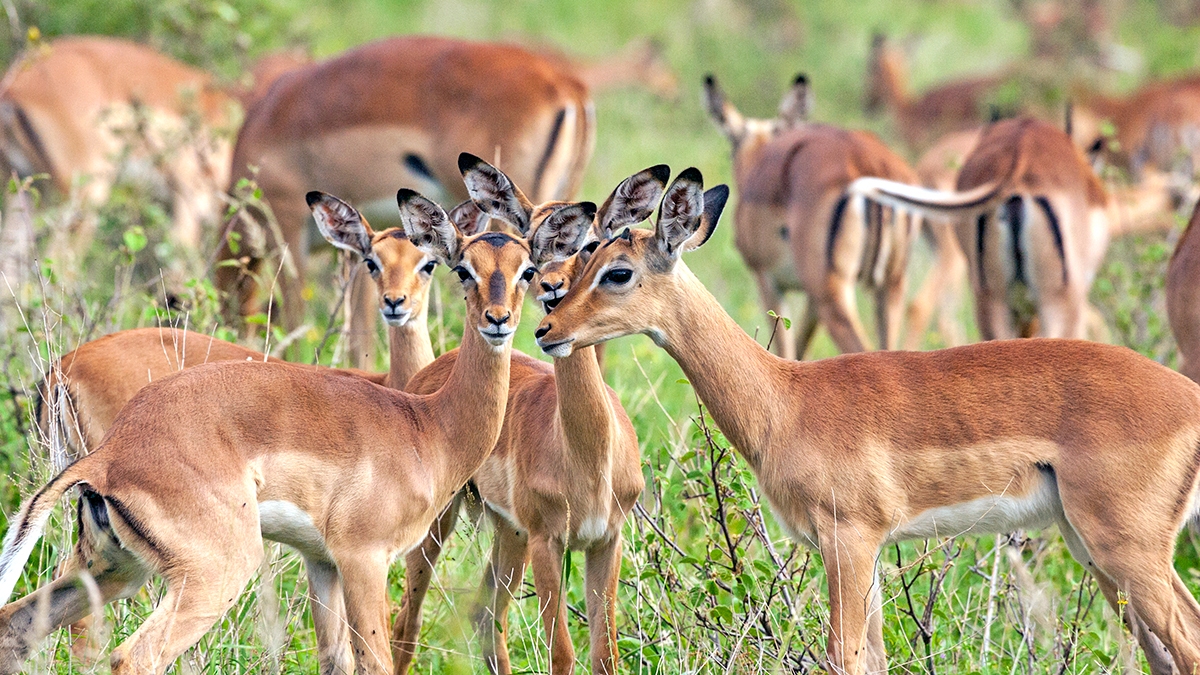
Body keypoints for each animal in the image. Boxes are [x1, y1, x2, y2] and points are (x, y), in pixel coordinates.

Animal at [0, 173, 591, 675]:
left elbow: (336, 662)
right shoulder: (364, 560)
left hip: (112, 568)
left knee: (17, 628)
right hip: (210, 576)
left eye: (527, 270)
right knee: (130, 656)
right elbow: (376, 662)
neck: (427, 425)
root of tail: (111, 455)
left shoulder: (322, 563)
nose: (499, 321)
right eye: (463, 269)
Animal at [391, 160, 661, 675]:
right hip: (442, 526)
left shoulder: (606, 542)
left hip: (507, 533)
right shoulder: (547, 541)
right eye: (464, 269)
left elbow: (605, 653)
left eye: (588, 243)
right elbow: (563, 652)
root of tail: (426, 376)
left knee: (484, 613)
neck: (588, 456)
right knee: (406, 623)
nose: (553, 288)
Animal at [534, 167, 1200, 675]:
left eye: (618, 271)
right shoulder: (868, 553)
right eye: (583, 260)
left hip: (1128, 549)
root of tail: (1188, 398)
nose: (547, 330)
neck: (785, 402)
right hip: (1094, 549)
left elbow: (843, 657)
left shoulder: (848, 540)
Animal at [705, 73, 920, 357]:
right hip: (891, 285)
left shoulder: (768, 279)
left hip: (833, 292)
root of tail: (868, 161)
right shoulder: (811, 298)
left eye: (731, 146)